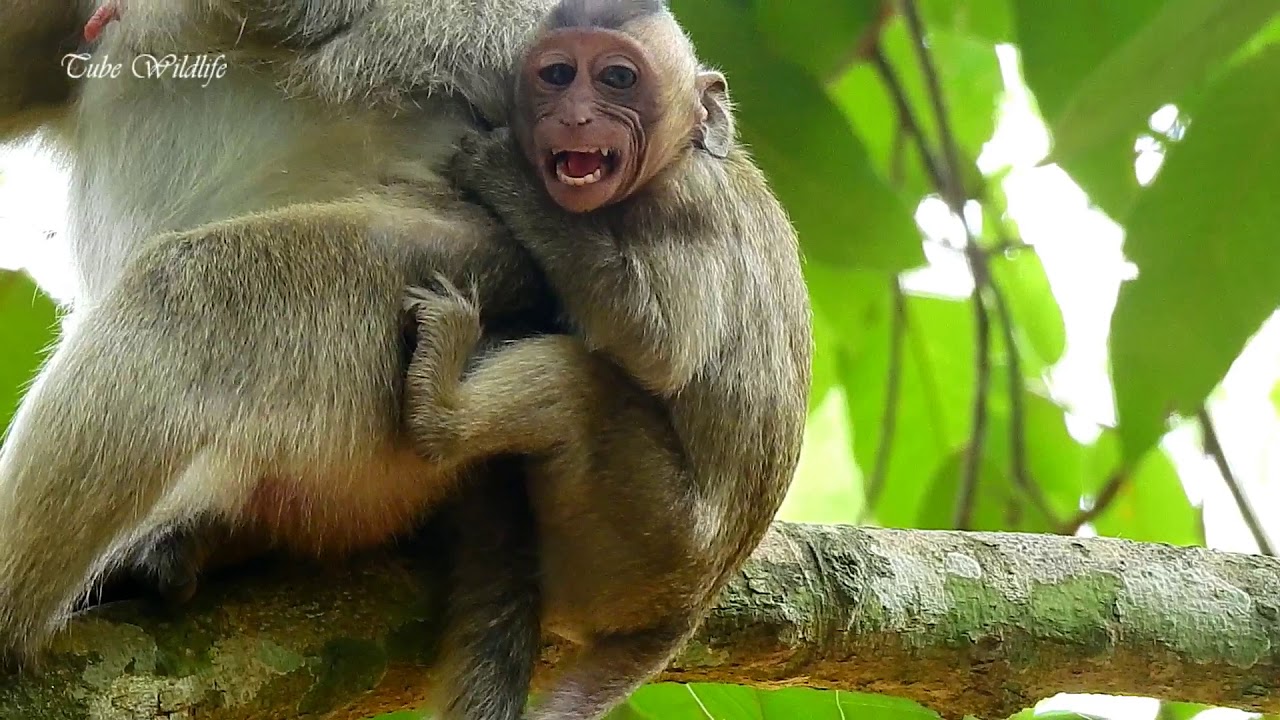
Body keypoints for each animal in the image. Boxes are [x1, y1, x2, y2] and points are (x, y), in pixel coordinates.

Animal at [399, 1, 813, 718]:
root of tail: (685, 611)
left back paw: (440, 414)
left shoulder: (681, 208)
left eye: (617, 78)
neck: (677, 158)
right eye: (558, 75)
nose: (573, 117)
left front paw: (506, 176)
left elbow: (658, 343)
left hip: (642, 541)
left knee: (579, 386)